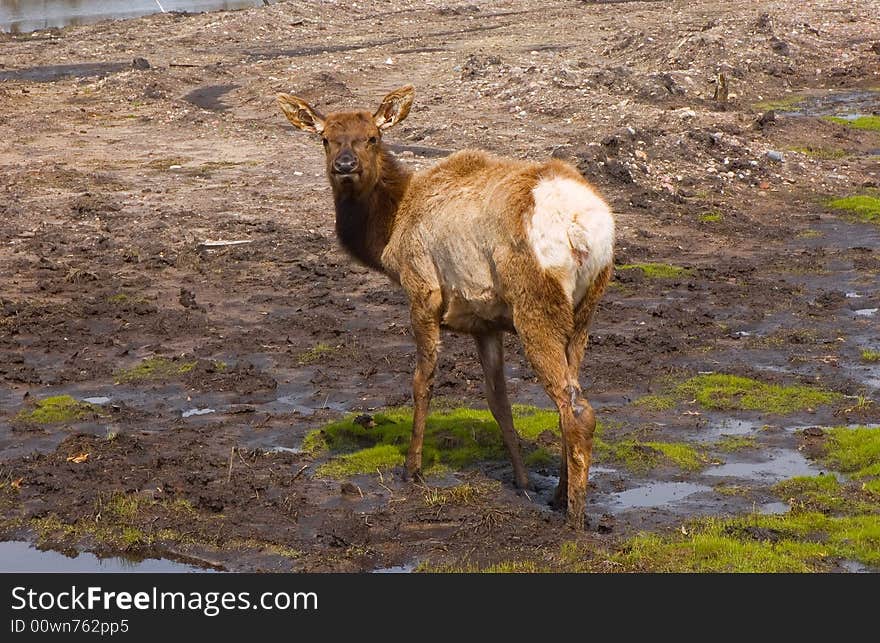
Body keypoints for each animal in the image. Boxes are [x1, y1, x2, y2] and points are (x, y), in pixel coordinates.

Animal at [278, 85, 616, 528]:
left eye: (373, 137)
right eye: (325, 138)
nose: (345, 165)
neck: (387, 234)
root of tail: (582, 227)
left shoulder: (422, 289)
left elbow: (422, 382)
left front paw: (412, 470)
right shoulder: (485, 322)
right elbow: (498, 400)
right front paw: (522, 480)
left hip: (535, 306)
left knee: (577, 409)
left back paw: (574, 518)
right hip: (585, 312)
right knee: (569, 399)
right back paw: (559, 495)